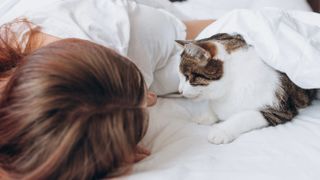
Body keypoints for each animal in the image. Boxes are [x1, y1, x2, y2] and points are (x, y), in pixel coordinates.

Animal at [176, 33, 316, 144]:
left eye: (187, 77)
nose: (180, 90)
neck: (232, 84)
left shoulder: (279, 110)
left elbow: (244, 116)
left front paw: (221, 131)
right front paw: (205, 116)